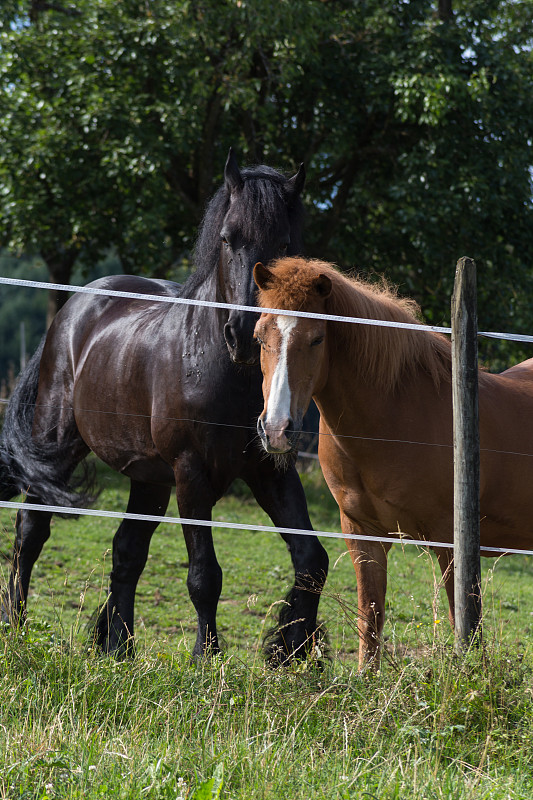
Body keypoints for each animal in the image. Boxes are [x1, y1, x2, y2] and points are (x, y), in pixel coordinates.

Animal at [0, 150, 328, 664]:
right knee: (30, 531)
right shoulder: (191, 474)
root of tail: (74, 307)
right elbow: (204, 575)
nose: (245, 334)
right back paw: (17, 627)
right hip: (58, 447)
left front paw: (293, 650)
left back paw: (118, 647)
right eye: (227, 238)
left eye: (286, 244)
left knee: (126, 551)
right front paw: (205, 658)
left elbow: (312, 559)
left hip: (148, 477)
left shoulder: (271, 469)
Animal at [251, 255, 532, 664]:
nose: (275, 429)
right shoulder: (362, 535)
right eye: (260, 337)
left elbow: (461, 623)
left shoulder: (451, 546)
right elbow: (370, 619)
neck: (393, 417)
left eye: (317, 338)